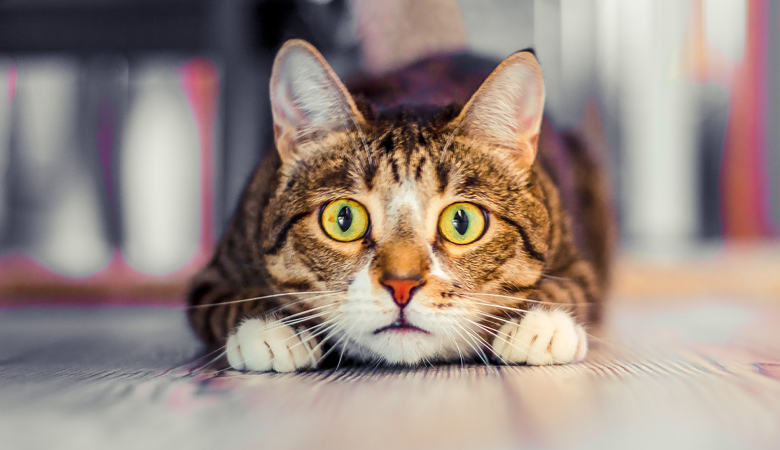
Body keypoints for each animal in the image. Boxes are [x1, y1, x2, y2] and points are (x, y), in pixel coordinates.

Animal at [186, 38, 612, 370]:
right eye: (344, 219)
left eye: (462, 222)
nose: (402, 285)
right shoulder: (216, 271)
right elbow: (229, 302)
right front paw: (272, 330)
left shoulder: (577, 257)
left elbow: (572, 288)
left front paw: (541, 326)